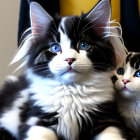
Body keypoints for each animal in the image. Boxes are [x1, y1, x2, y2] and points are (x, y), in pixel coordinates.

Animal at [0, 0, 131, 140]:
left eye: (83, 45)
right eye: (55, 48)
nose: (69, 59)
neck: (71, 90)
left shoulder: (109, 119)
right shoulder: (36, 121)